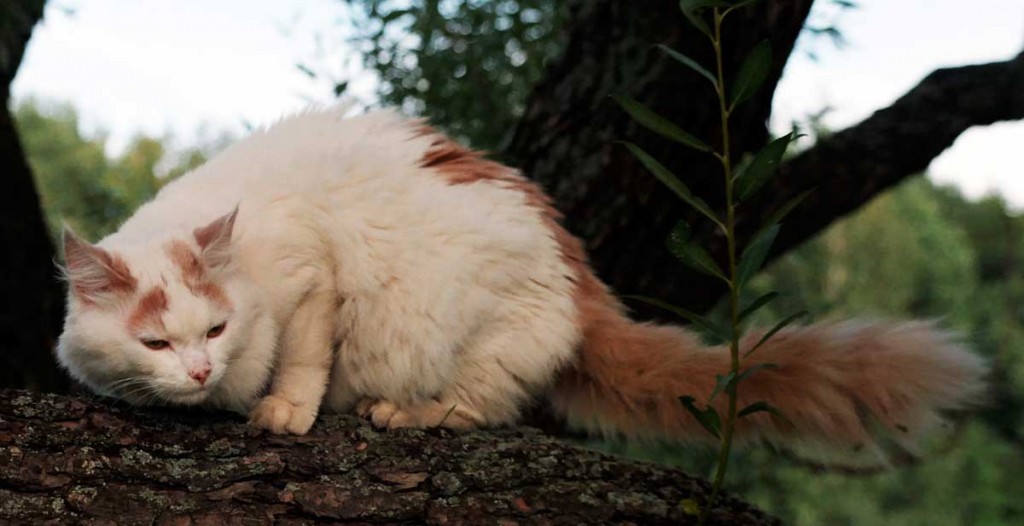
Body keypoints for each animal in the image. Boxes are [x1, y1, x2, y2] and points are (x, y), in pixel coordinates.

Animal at [54, 106, 983, 466]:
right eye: (156, 341)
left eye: (213, 331)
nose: (201, 371)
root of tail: (579, 275)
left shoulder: (315, 278)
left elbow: (305, 359)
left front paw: (283, 410)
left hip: (474, 330)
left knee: (480, 406)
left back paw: (401, 413)